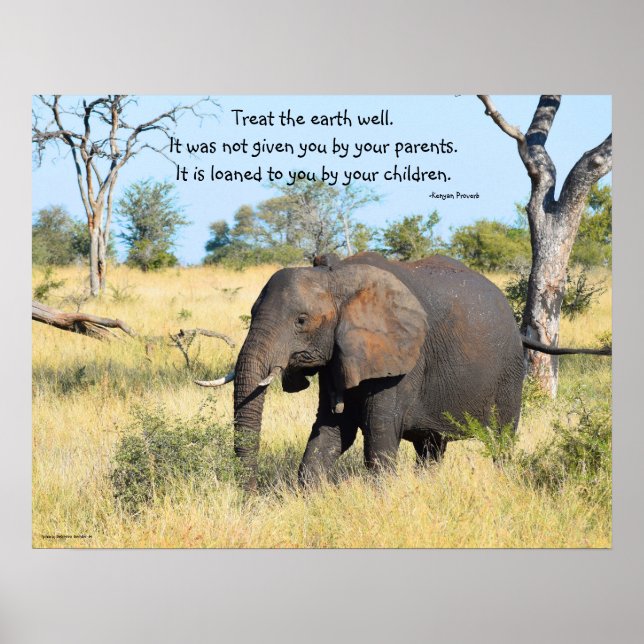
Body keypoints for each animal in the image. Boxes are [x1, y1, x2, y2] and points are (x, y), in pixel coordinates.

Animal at [197, 252, 610, 490]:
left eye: (301, 321)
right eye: (252, 313)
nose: (250, 496)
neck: (337, 278)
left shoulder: (402, 360)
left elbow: (378, 439)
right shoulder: (340, 356)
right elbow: (330, 434)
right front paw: (307, 498)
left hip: (510, 375)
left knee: (501, 442)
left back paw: (502, 481)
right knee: (432, 448)